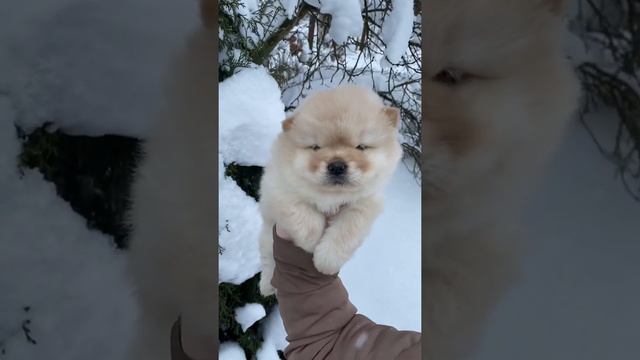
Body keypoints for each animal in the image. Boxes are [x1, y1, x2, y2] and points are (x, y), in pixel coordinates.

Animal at [258, 84, 400, 296]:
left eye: (361, 147)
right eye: (316, 147)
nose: (337, 166)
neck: (331, 196)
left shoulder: (365, 203)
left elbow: (347, 230)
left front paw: (325, 262)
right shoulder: (278, 191)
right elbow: (305, 219)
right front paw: (312, 245)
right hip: (267, 236)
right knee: (268, 261)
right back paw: (267, 286)